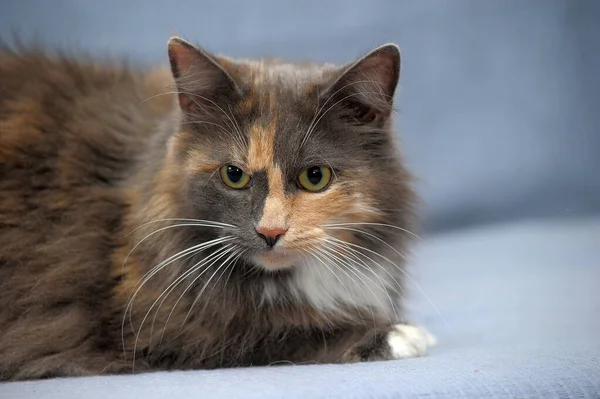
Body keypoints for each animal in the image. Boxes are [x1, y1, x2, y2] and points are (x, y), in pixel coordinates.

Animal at [0, 35, 434, 382]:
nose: (270, 231)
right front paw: (397, 334)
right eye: (233, 175)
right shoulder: (156, 329)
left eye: (315, 177)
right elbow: (270, 335)